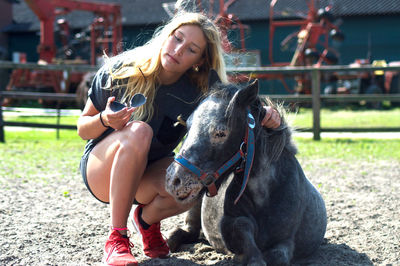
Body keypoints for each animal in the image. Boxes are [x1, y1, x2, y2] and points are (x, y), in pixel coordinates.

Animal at [164, 71, 326, 266]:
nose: (174, 179)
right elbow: (243, 232)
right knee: (185, 232)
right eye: (188, 126)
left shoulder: (286, 241)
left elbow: (277, 255)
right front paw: (242, 257)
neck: (266, 195)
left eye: (221, 132)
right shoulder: (232, 222)